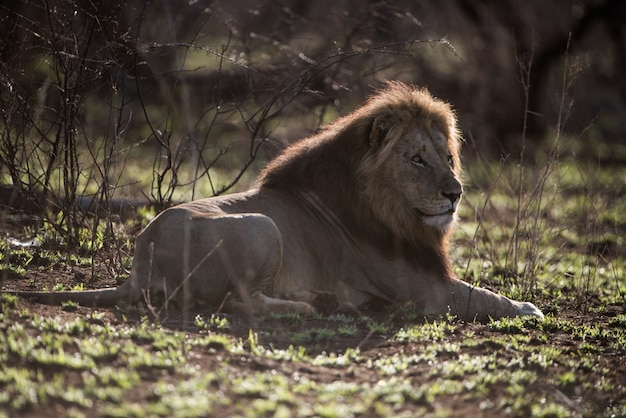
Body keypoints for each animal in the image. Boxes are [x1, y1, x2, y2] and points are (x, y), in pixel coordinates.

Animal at [4, 82, 540, 324]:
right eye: (417, 160)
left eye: (448, 158)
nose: (455, 193)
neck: (390, 210)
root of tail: (139, 263)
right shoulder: (422, 289)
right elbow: (481, 296)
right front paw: (529, 307)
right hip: (264, 226)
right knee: (238, 301)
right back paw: (315, 305)